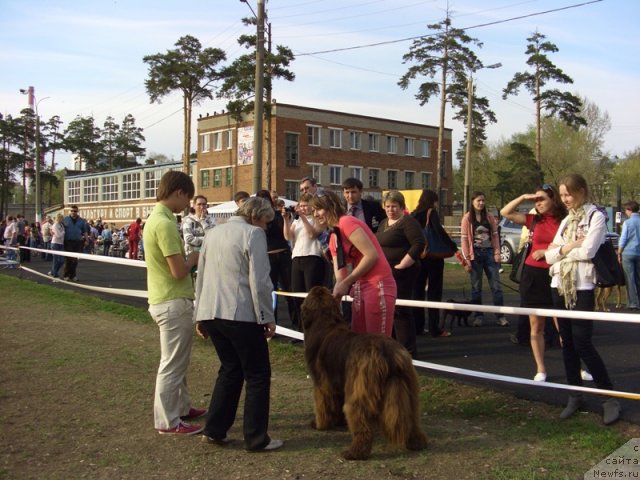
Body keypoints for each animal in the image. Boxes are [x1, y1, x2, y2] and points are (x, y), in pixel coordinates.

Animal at [302, 286, 428, 460]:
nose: (318, 287)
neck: (325, 322)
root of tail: (388, 354)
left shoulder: (322, 385)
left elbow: (322, 406)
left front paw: (319, 424)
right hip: (409, 390)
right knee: (412, 419)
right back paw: (416, 443)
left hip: (358, 392)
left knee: (361, 424)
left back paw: (354, 452)